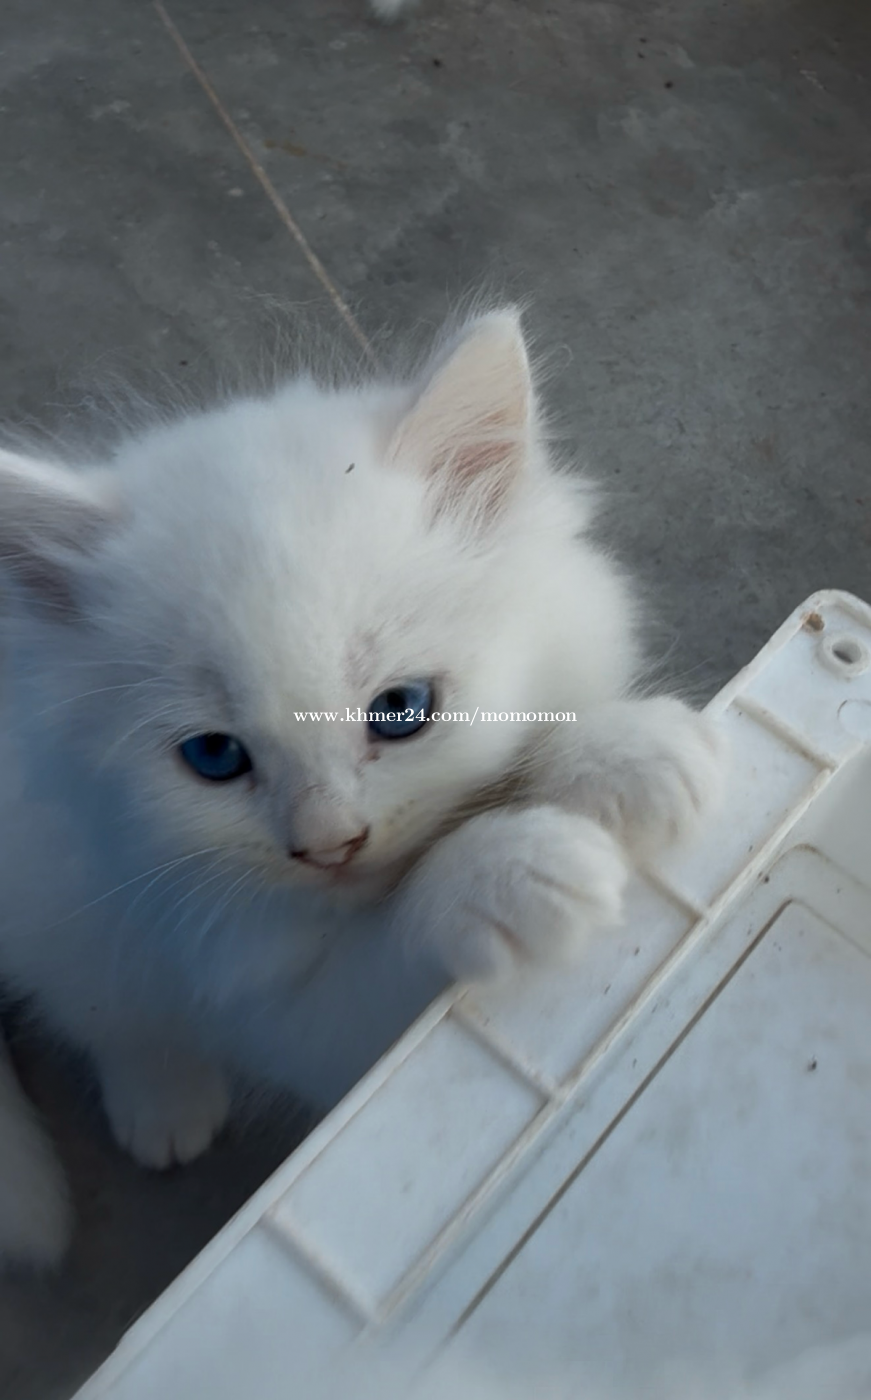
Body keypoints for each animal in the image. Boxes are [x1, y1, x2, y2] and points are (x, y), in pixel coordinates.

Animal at [0, 309, 724, 1268]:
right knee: (108, 1004)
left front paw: (626, 750)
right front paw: (502, 873)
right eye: (214, 757)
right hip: (51, 887)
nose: (329, 844)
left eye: (401, 710)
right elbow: (384, 962)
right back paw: (162, 1104)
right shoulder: (261, 987)